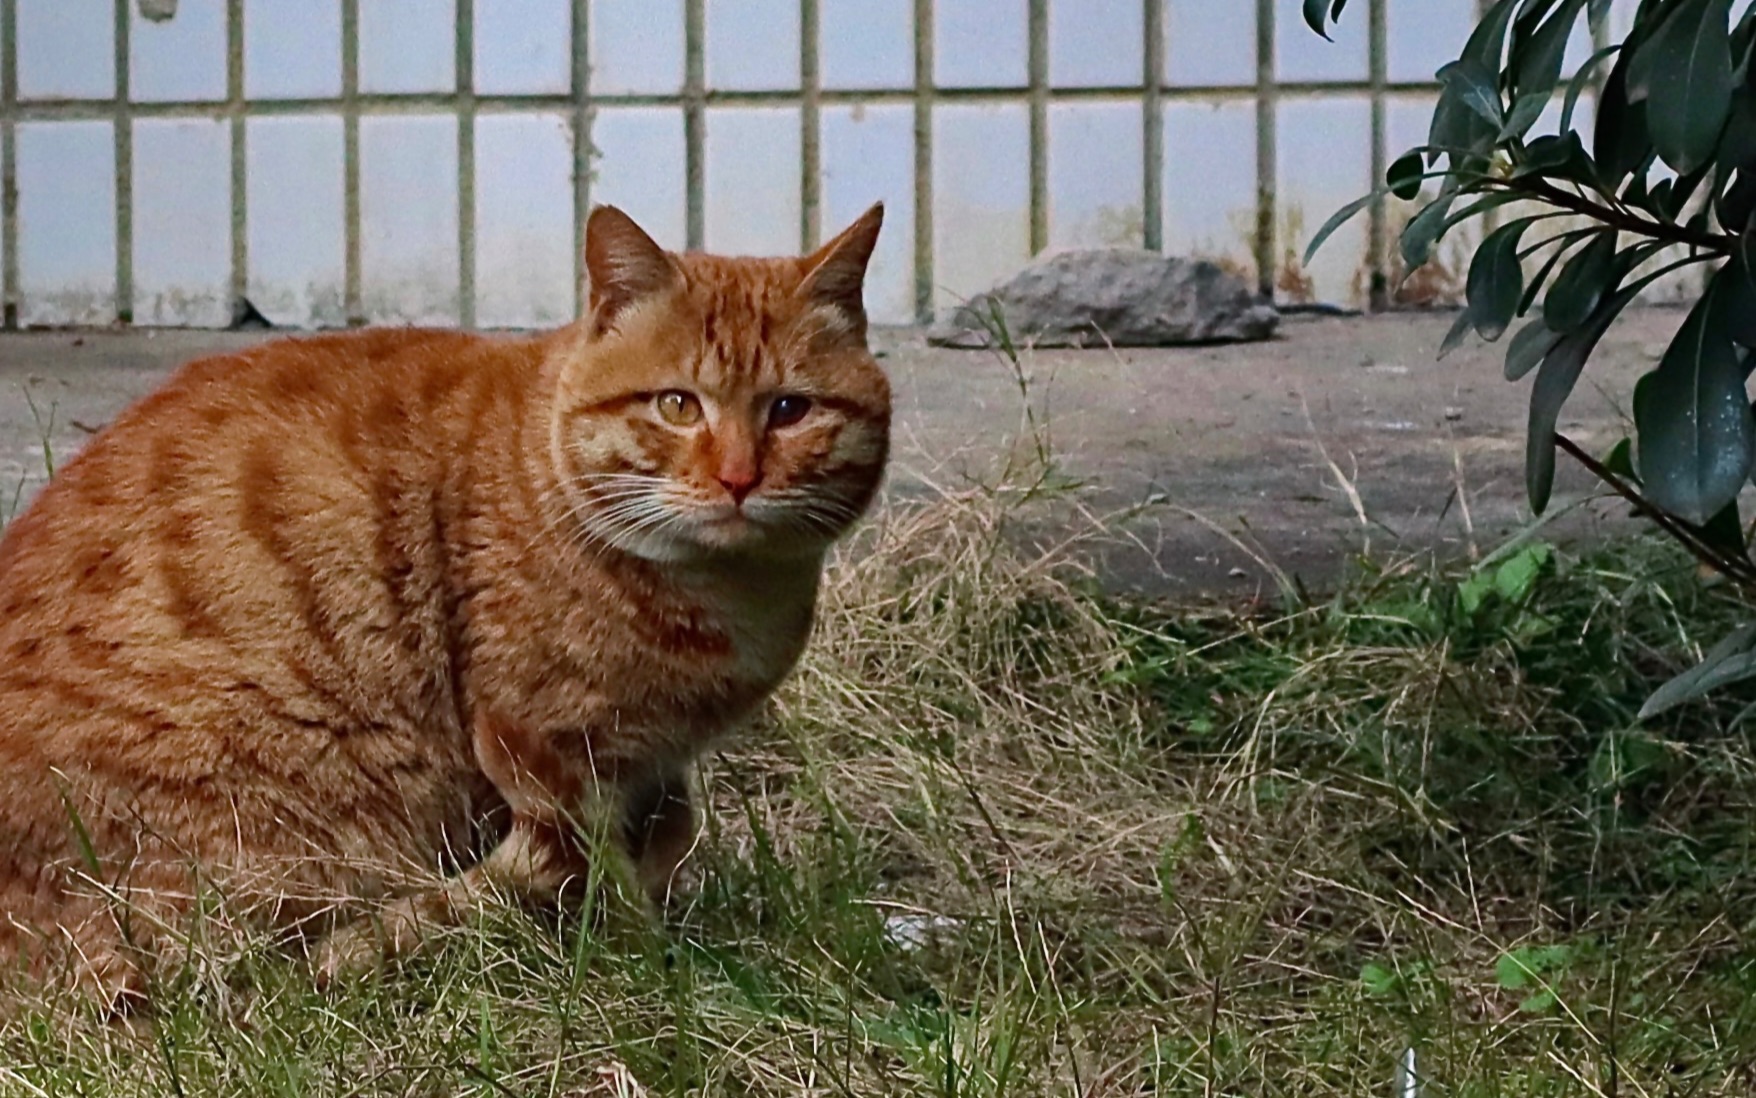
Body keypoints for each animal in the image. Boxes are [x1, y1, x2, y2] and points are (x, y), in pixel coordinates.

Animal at [0, 201, 892, 1004]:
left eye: (790, 409)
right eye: (677, 405)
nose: (739, 478)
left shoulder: (655, 771)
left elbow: (661, 837)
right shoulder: (549, 749)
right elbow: (607, 885)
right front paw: (658, 968)